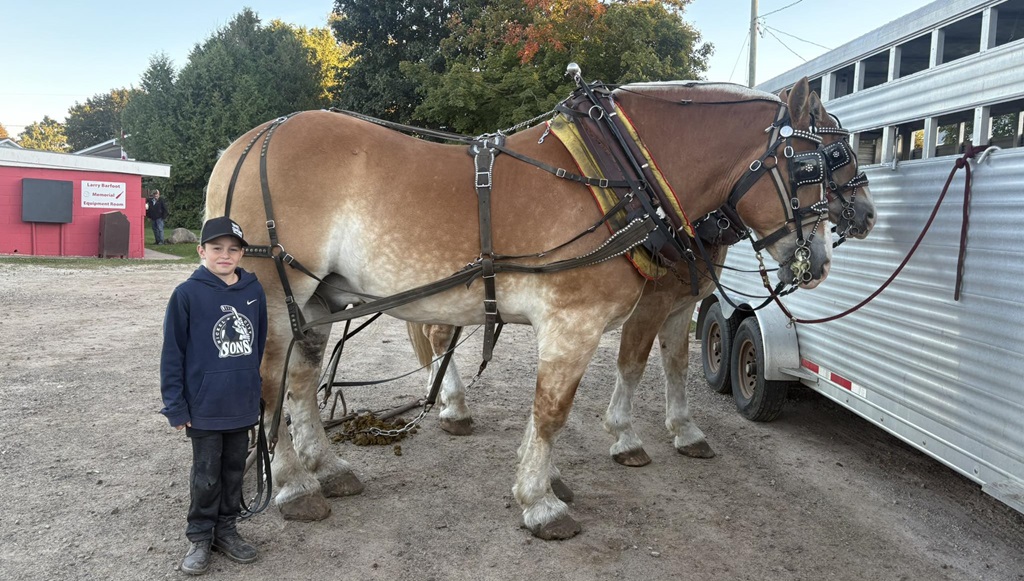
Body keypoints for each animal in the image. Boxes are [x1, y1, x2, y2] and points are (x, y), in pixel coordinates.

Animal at [408, 91, 876, 471]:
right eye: (830, 159)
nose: (869, 216)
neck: (656, 197)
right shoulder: (649, 305)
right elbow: (632, 364)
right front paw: (625, 437)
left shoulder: (682, 304)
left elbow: (677, 364)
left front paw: (685, 430)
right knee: (437, 336)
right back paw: (453, 405)